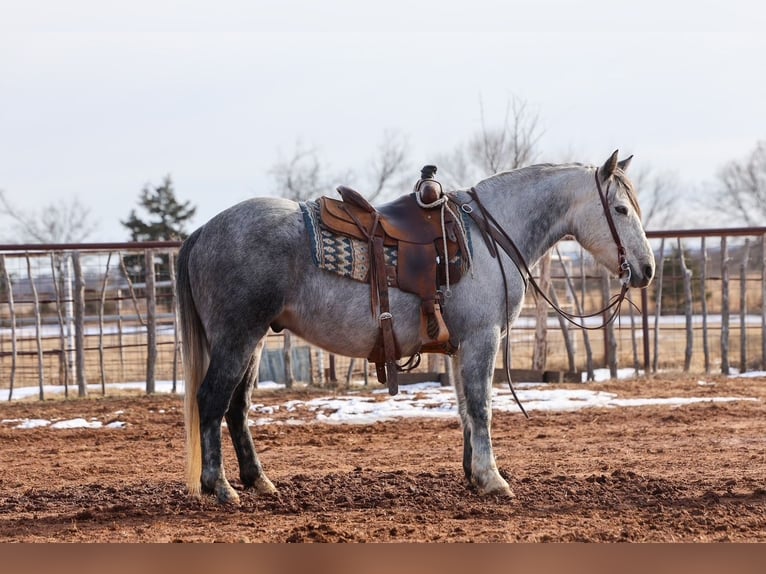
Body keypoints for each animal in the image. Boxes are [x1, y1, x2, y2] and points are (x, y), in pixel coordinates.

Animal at [177, 150, 655, 504]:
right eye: (619, 208)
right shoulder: (482, 339)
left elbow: (465, 408)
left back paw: (259, 481)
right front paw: (493, 479)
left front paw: (473, 476)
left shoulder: (462, 345)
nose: (647, 269)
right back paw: (220, 487)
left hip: (254, 340)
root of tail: (203, 231)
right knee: (212, 400)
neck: (490, 236)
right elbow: (481, 406)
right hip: (237, 337)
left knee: (237, 409)